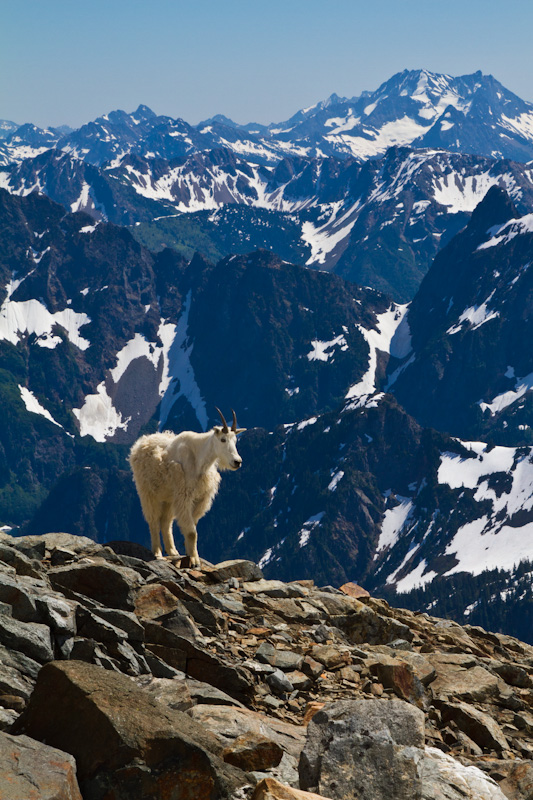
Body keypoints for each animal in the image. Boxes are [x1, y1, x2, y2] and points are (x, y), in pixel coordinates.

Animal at [129, 410, 245, 564]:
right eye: (223, 440)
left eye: (235, 440)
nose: (237, 462)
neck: (200, 460)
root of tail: (140, 444)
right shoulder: (184, 497)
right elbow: (191, 532)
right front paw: (194, 560)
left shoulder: (200, 498)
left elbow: (192, 527)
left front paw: (189, 552)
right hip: (147, 492)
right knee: (153, 520)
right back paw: (158, 552)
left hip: (169, 497)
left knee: (166, 521)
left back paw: (172, 551)